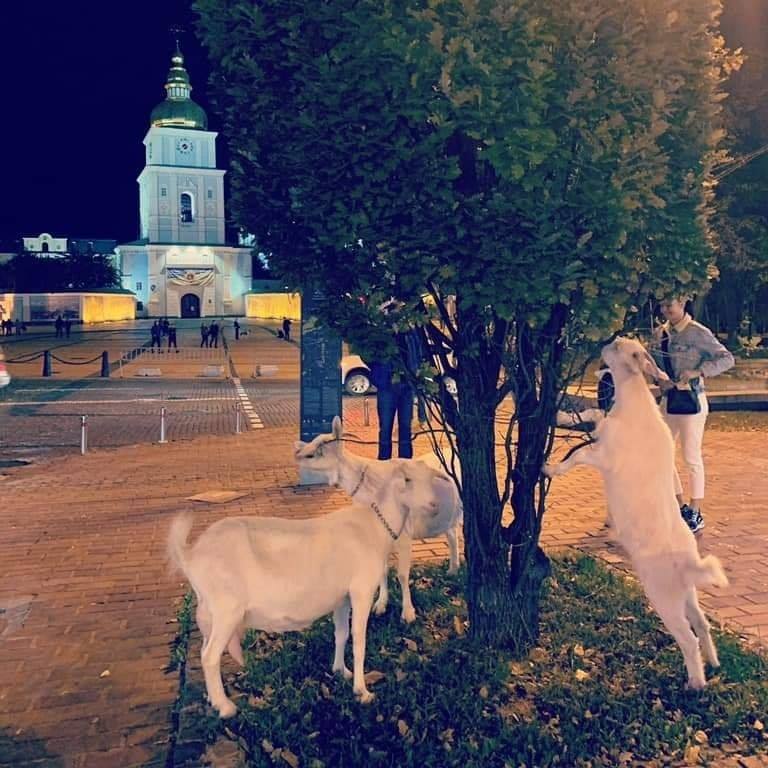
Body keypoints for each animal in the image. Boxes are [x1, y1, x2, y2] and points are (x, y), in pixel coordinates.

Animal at [168, 462, 444, 720]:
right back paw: (226, 707)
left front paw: (340, 671)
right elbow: (359, 640)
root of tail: (190, 555)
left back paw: (214, 699)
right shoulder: (361, 591)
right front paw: (362, 691)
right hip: (227, 610)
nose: (434, 505)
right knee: (210, 656)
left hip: (211, 612)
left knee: (204, 650)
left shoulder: (342, 598)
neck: (374, 524)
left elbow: (341, 634)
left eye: (431, 478)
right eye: (406, 480)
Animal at [294, 420, 462, 624]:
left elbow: (402, 575)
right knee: (452, 534)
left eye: (322, 447)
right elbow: (382, 571)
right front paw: (380, 605)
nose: (298, 453)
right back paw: (453, 570)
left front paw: (408, 613)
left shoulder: (404, 537)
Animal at [544, 336, 728, 688]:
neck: (634, 403)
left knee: (687, 638)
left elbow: (577, 458)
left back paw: (695, 684)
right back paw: (713, 664)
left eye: (619, 347)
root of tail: (688, 563)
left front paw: (548, 469)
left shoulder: (603, 456)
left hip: (663, 597)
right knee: (702, 623)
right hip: (687, 594)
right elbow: (590, 416)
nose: (604, 342)